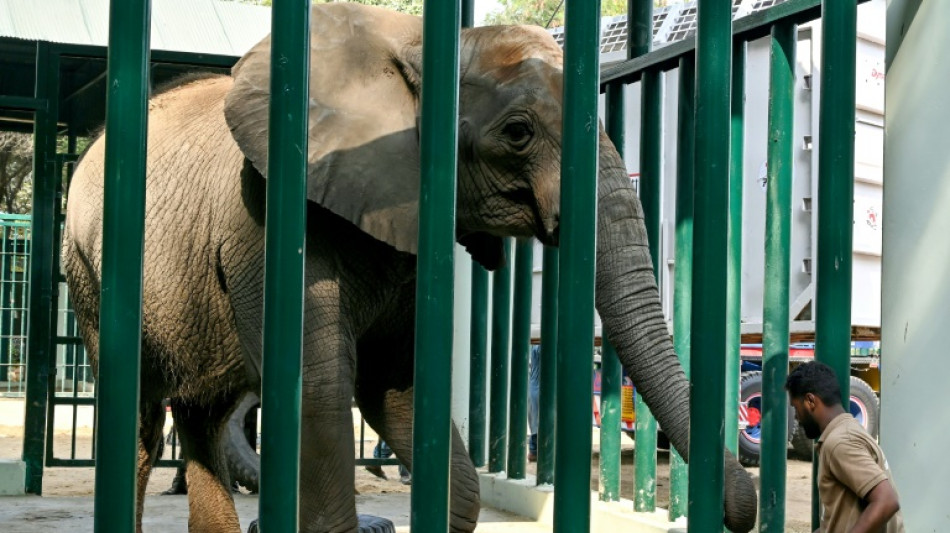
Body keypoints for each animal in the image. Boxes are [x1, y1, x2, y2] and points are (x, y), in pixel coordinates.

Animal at [61, 2, 760, 528]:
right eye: (518, 133)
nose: (743, 511)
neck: (411, 49)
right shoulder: (259, 221)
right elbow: (320, 390)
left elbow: (395, 389)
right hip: (89, 272)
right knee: (143, 423)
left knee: (203, 416)